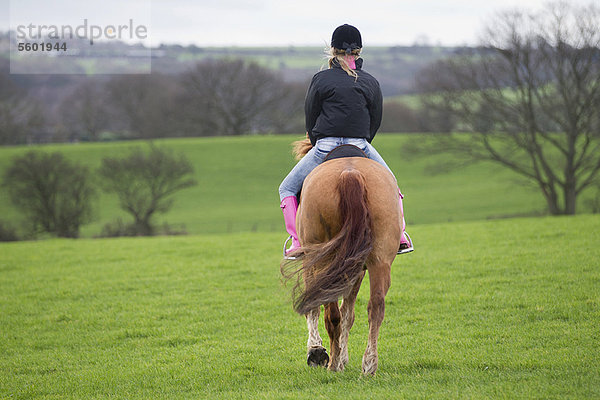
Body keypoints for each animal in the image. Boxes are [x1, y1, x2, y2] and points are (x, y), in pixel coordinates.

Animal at [282, 144, 404, 376]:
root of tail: (350, 173)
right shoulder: (357, 269)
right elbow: (349, 313)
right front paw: (341, 356)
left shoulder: (310, 264)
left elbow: (314, 308)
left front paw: (317, 351)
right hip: (380, 261)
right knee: (376, 306)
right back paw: (369, 365)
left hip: (324, 262)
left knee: (331, 314)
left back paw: (334, 363)